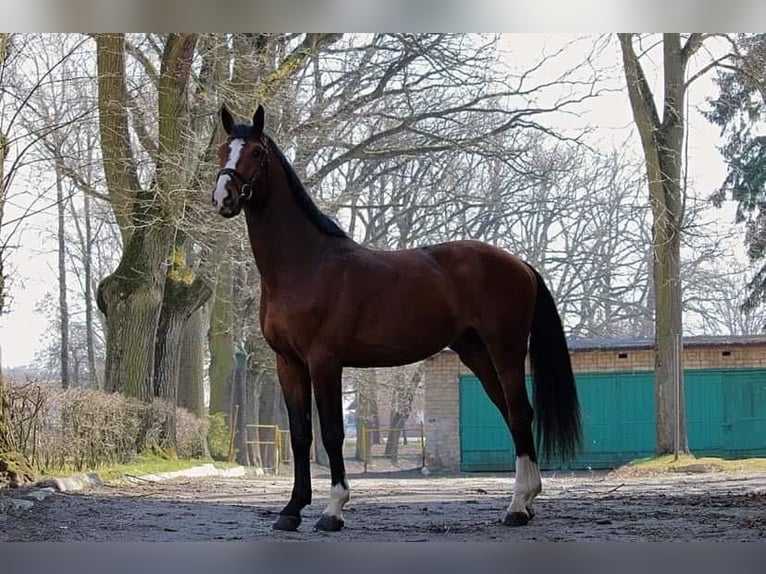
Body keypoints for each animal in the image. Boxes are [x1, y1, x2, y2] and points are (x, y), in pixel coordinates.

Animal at [210, 104, 584, 536]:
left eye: (256, 153)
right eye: (223, 149)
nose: (223, 198)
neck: (305, 264)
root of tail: (520, 265)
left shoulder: (325, 361)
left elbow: (332, 432)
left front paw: (333, 510)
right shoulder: (288, 363)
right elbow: (301, 435)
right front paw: (290, 510)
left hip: (504, 350)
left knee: (521, 414)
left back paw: (518, 507)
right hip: (476, 353)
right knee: (512, 415)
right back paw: (527, 501)